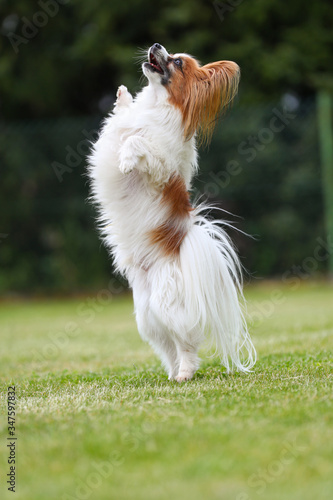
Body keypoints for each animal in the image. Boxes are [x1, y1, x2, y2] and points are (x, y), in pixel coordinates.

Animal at [87, 44, 255, 382]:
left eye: (177, 62)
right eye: (170, 53)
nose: (155, 46)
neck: (156, 106)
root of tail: (183, 243)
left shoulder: (162, 168)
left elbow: (137, 141)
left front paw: (127, 159)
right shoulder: (115, 134)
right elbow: (122, 122)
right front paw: (123, 97)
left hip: (168, 306)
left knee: (187, 342)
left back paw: (186, 373)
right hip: (147, 316)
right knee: (169, 346)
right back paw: (174, 372)